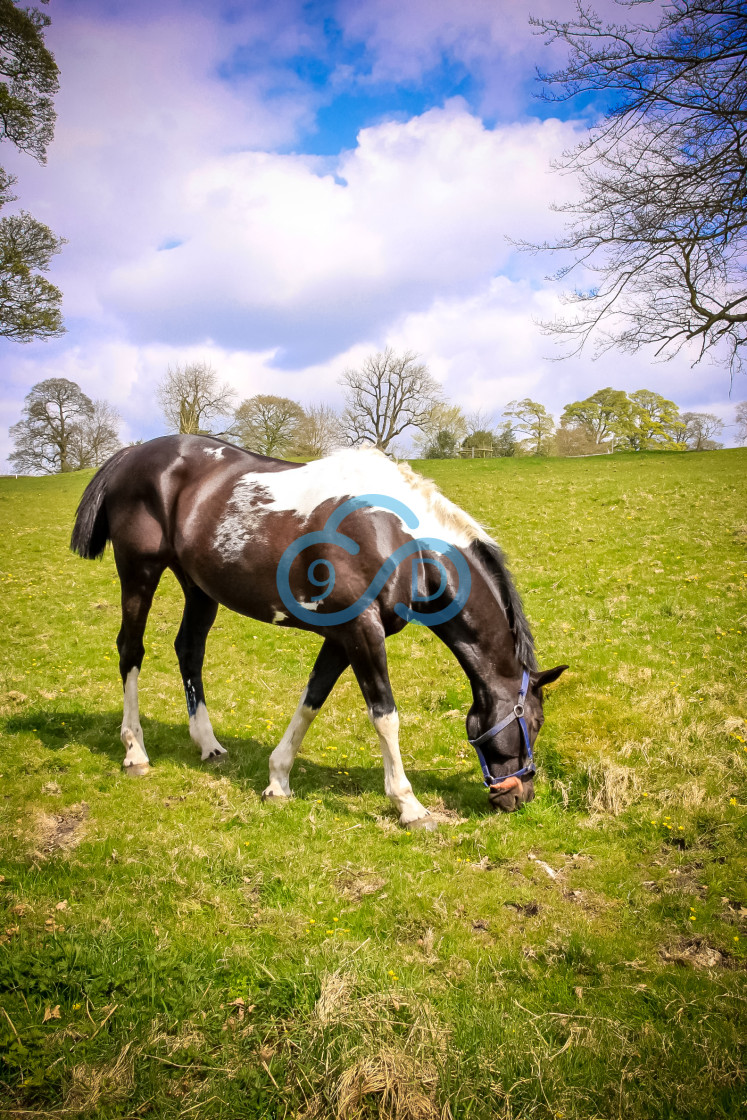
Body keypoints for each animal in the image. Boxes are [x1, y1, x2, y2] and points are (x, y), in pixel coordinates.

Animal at [72, 432, 568, 828]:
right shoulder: (361, 632)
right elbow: (385, 715)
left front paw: (278, 778)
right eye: (535, 723)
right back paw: (135, 751)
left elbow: (312, 700)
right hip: (139, 573)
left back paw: (208, 744)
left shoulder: (342, 637)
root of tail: (134, 452)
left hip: (198, 589)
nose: (519, 796)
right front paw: (408, 805)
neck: (397, 537)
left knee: (189, 651)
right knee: (130, 650)